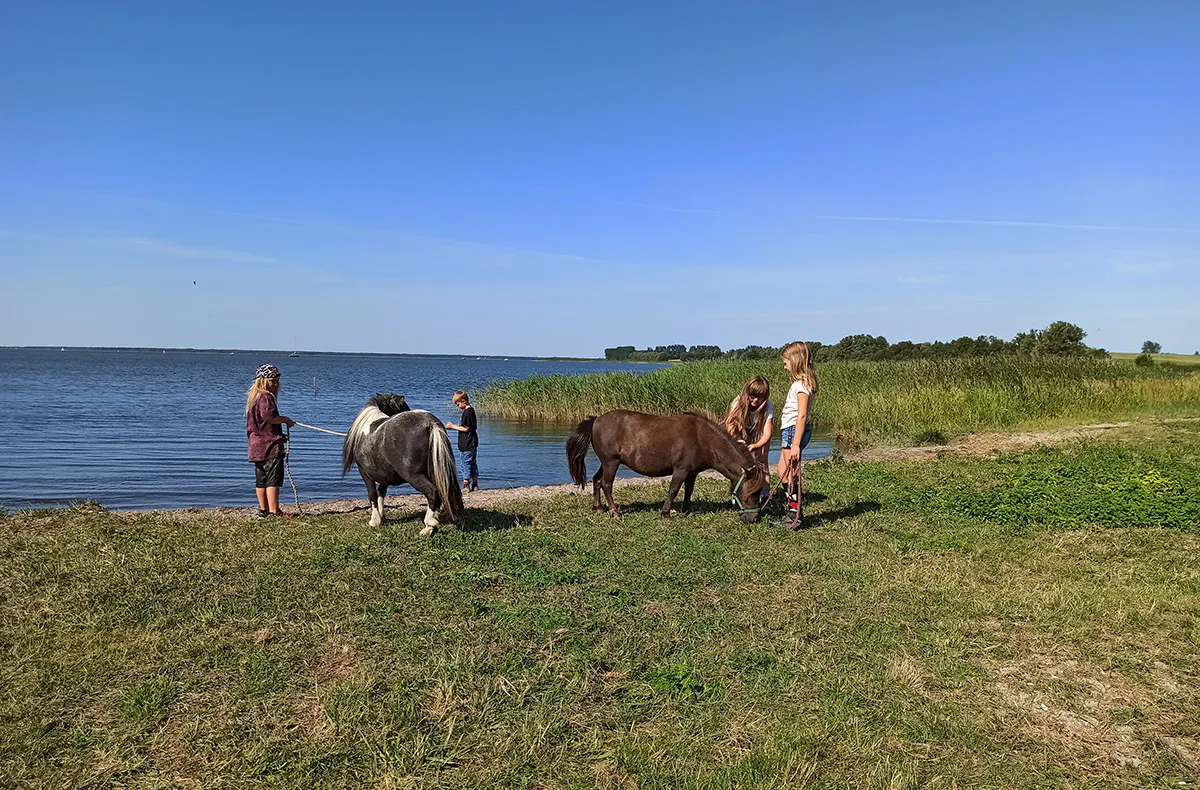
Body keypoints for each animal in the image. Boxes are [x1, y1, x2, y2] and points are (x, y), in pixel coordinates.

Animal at [342, 393, 464, 536]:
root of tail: (430, 423)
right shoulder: (384, 475)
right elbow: (381, 493)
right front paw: (381, 516)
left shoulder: (365, 472)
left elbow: (372, 494)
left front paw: (374, 520)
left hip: (413, 476)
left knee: (433, 492)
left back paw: (428, 526)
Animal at [566, 410, 768, 522]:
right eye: (751, 493)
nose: (753, 518)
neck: (703, 439)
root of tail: (596, 420)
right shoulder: (681, 469)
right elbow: (673, 490)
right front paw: (665, 513)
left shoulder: (692, 472)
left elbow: (688, 491)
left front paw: (686, 510)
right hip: (611, 462)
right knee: (606, 484)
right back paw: (614, 511)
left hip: (607, 462)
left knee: (597, 480)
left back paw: (599, 507)